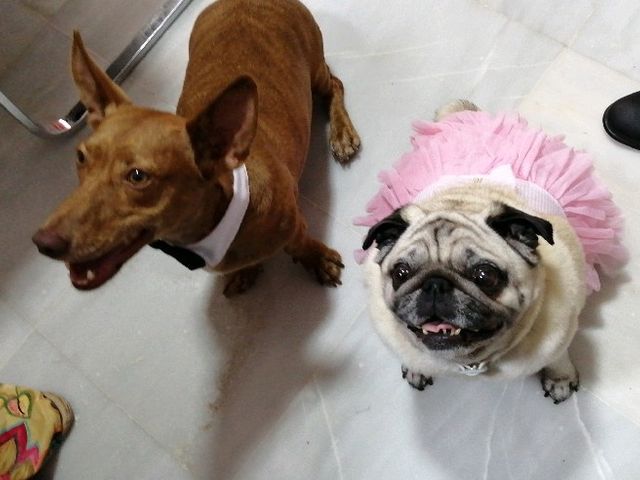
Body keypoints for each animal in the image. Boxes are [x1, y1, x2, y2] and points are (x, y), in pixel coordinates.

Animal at [31, 0, 360, 294]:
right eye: (81, 157)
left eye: (138, 176)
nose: (42, 243)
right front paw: (247, 270)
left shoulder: (293, 225)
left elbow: (299, 244)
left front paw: (317, 259)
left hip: (314, 67)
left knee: (335, 85)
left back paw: (341, 134)